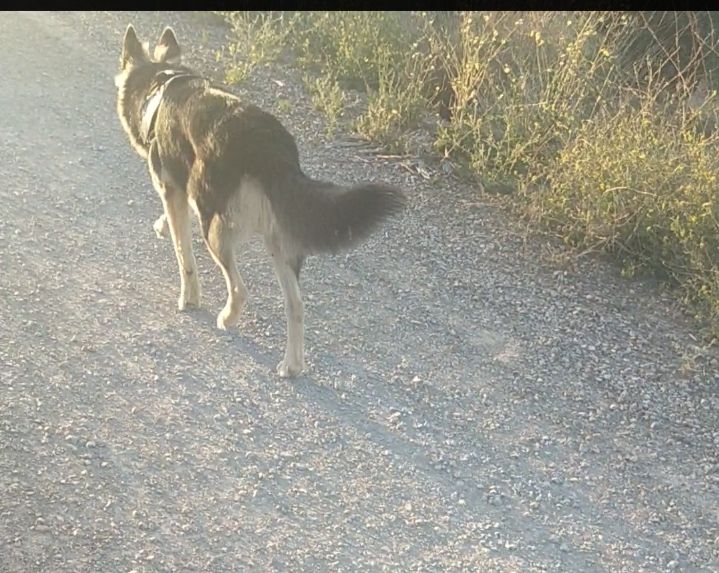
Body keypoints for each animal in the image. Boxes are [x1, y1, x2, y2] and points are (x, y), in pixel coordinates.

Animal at [113, 24, 404, 378]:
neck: (159, 82)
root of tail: (271, 148)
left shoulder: (173, 191)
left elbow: (185, 258)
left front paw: (189, 298)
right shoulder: (178, 195)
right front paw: (162, 225)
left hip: (213, 222)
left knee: (239, 289)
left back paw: (227, 319)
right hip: (278, 241)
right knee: (296, 304)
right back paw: (292, 365)